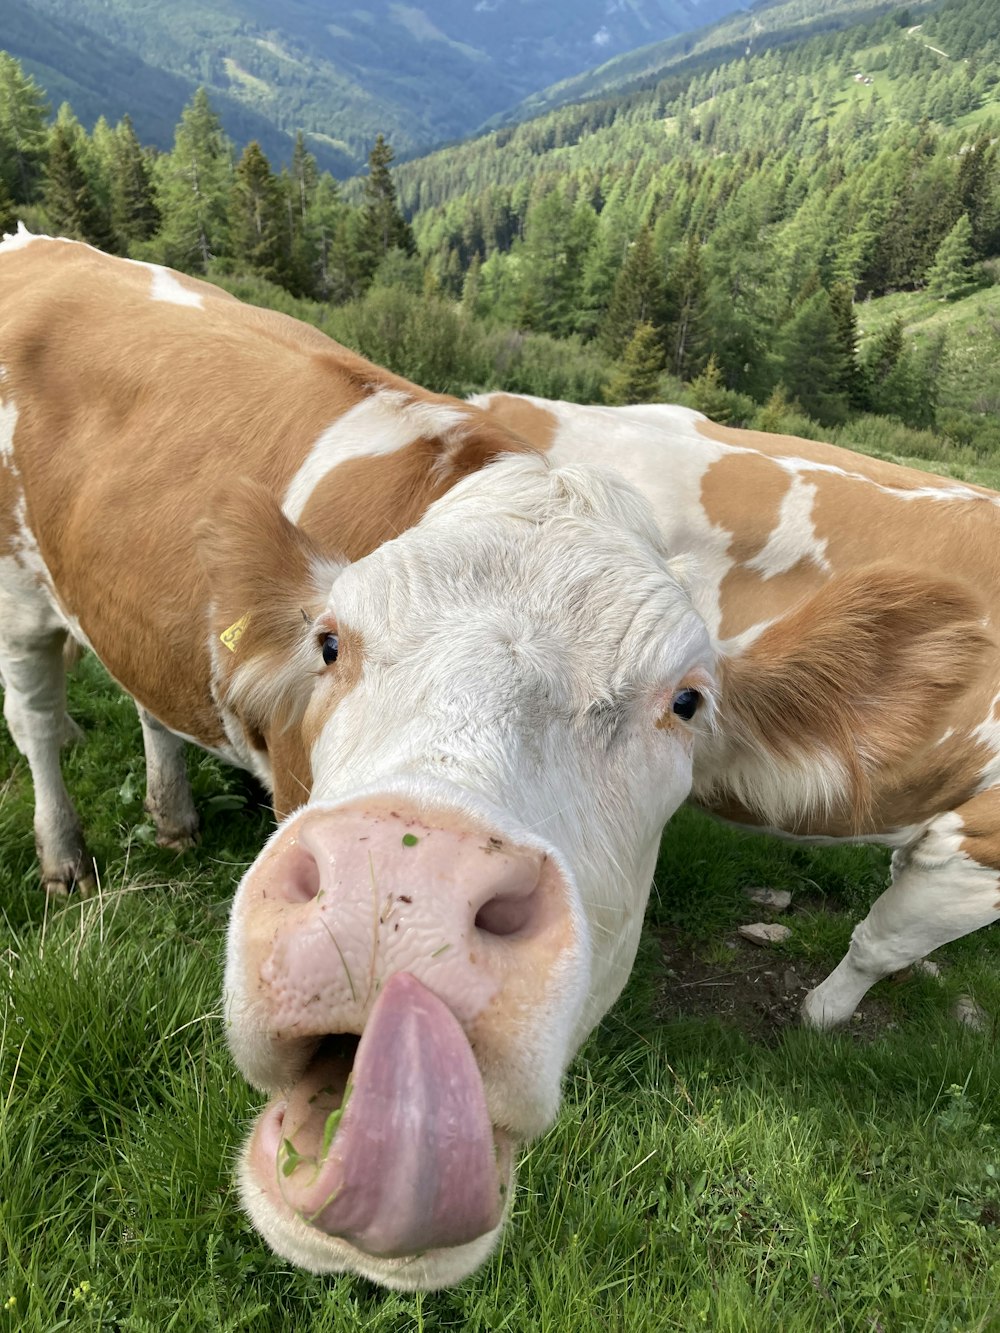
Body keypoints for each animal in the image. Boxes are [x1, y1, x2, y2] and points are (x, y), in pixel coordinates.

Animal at [0, 231, 730, 1290]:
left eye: (685, 700)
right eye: (330, 642)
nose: (404, 886)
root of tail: (40, 242)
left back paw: (172, 816)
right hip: (18, 587)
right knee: (36, 718)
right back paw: (64, 857)